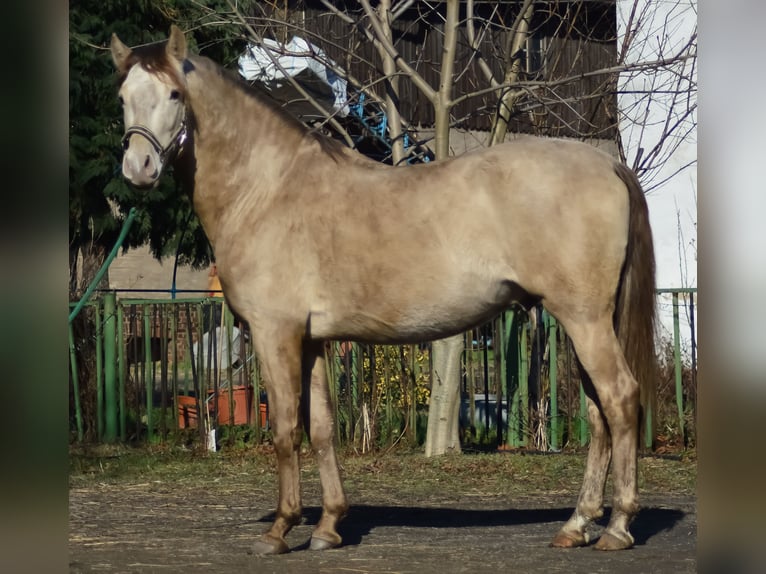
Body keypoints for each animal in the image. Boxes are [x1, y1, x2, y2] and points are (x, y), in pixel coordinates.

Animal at [109, 27, 660, 560]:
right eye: (122, 97)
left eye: (175, 94)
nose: (138, 167)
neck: (268, 190)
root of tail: (608, 166)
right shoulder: (312, 340)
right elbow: (322, 428)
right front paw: (328, 527)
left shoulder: (274, 334)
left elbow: (285, 430)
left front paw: (281, 530)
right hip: (582, 322)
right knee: (598, 412)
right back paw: (577, 525)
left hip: (584, 320)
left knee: (619, 399)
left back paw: (617, 526)